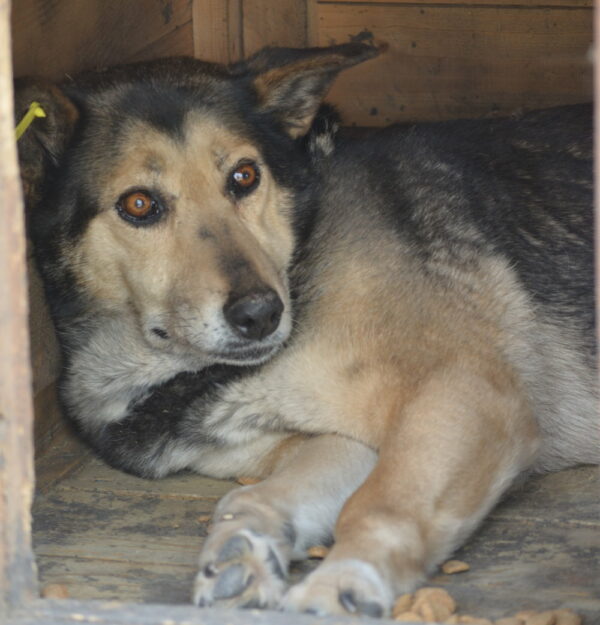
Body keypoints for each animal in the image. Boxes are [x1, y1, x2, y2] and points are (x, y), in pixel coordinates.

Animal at [16, 42, 596, 616]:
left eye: (245, 176)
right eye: (139, 204)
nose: (260, 315)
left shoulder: (466, 394)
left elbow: (381, 507)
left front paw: (342, 585)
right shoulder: (340, 443)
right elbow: (249, 497)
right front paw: (240, 553)